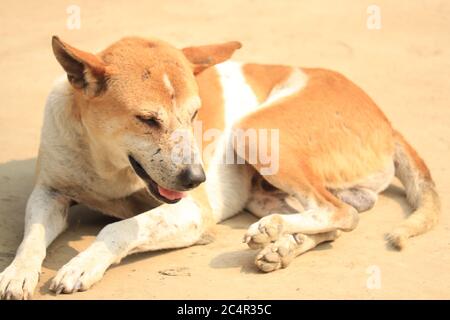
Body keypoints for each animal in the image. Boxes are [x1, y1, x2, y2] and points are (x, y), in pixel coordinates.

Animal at [0, 36, 440, 298]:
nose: (198, 178)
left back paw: (274, 233)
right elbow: (32, 236)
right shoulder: (49, 193)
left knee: (339, 212)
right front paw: (17, 272)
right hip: (264, 192)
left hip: (256, 131)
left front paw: (82, 265)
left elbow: (117, 228)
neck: (105, 163)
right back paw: (281, 243)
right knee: (338, 218)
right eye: (147, 120)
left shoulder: (192, 212)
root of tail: (386, 120)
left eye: (195, 114)